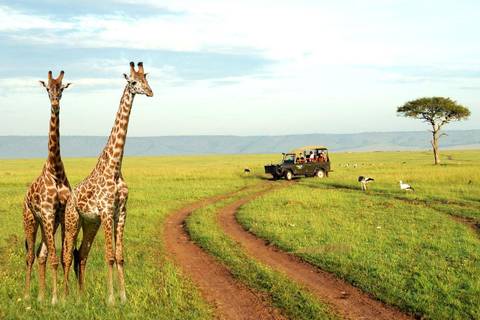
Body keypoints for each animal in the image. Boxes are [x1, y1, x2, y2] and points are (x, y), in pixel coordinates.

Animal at [61, 61, 152, 304]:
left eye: (147, 79)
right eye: (133, 82)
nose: (150, 92)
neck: (115, 167)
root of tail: (70, 197)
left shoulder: (121, 212)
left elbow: (119, 256)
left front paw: (123, 297)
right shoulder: (106, 211)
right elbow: (109, 256)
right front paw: (111, 299)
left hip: (90, 223)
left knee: (80, 254)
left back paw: (80, 297)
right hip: (73, 221)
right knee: (67, 255)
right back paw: (62, 297)